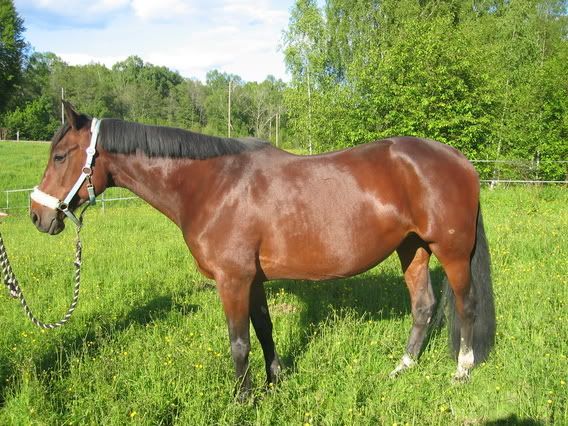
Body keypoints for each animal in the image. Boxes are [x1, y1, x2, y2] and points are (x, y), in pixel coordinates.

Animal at [30, 101, 495, 397]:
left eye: (60, 156)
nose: (38, 215)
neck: (212, 185)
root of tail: (460, 160)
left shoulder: (233, 280)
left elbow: (239, 342)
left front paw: (242, 399)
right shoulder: (252, 279)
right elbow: (265, 330)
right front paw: (274, 384)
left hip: (452, 253)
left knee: (465, 305)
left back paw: (462, 371)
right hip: (412, 249)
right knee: (423, 306)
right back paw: (402, 368)